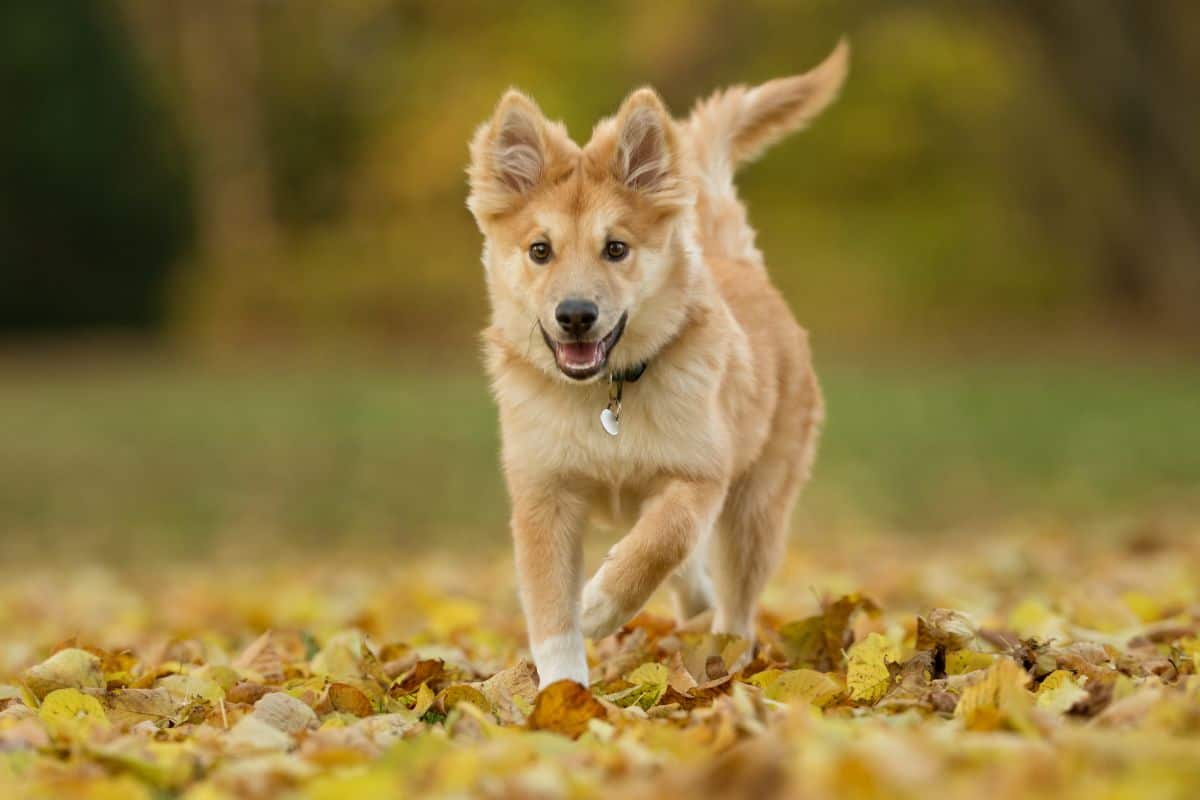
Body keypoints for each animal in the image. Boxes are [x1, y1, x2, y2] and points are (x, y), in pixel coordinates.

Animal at [463, 40, 849, 686]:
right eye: (540, 250)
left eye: (616, 248)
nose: (575, 315)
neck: (604, 398)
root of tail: (739, 262)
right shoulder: (544, 494)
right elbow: (551, 612)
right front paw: (562, 693)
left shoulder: (701, 472)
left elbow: (664, 539)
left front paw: (599, 604)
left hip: (757, 506)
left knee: (734, 598)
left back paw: (727, 655)